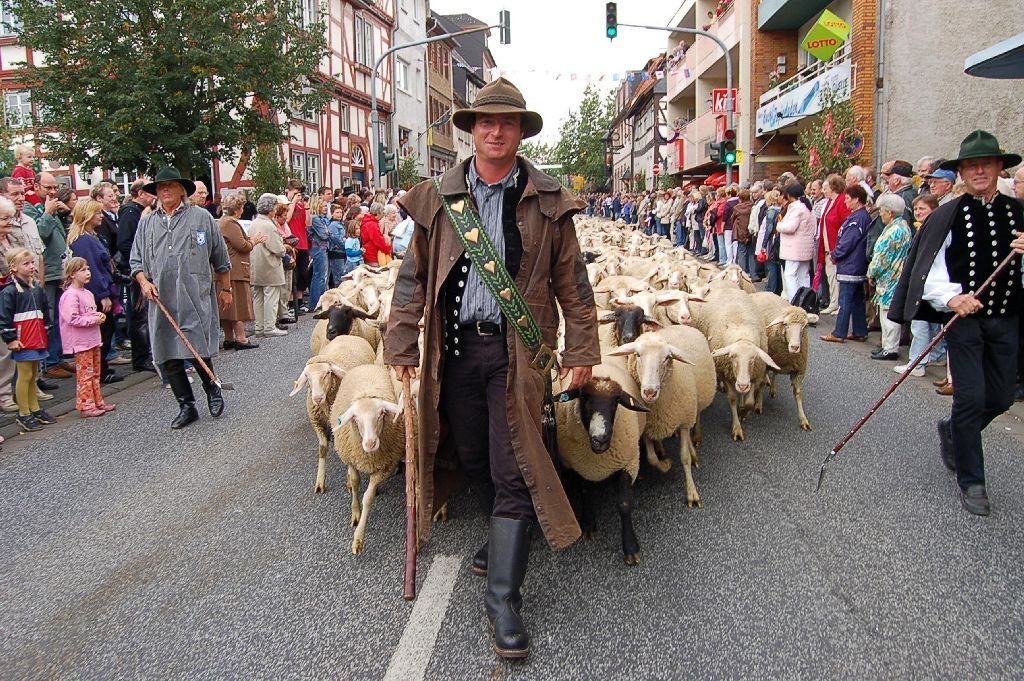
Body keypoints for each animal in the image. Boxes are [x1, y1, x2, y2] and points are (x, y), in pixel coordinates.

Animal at [288, 335, 376, 491]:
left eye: (327, 373)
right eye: (307, 378)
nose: (317, 398)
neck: (325, 406)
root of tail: (348, 335)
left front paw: (349, 481)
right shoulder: (317, 423)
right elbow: (322, 448)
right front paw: (320, 482)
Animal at [331, 364, 403, 557]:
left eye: (381, 413)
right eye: (355, 418)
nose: (370, 443)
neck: (369, 457)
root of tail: (367, 365)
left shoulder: (383, 468)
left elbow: (368, 497)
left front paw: (358, 539)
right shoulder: (351, 459)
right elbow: (356, 482)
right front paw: (355, 512)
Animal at [552, 360, 647, 561]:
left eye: (616, 401)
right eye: (584, 397)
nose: (600, 439)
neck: (598, 461)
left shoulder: (628, 463)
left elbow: (624, 503)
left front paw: (630, 547)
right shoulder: (579, 466)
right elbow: (585, 491)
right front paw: (589, 524)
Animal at [606, 327, 712, 507]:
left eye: (667, 357)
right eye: (637, 355)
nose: (650, 392)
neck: (657, 409)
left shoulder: (683, 422)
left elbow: (684, 457)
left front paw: (692, 493)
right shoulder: (647, 428)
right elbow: (651, 458)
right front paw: (666, 464)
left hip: (697, 401)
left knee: (696, 417)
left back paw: (694, 445)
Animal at [749, 290, 811, 430]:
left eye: (804, 327)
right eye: (786, 325)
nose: (795, 347)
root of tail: (764, 291)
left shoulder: (799, 371)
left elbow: (798, 394)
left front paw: (803, 419)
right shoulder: (766, 364)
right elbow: (761, 384)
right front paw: (758, 405)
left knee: (775, 373)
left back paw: (772, 388)